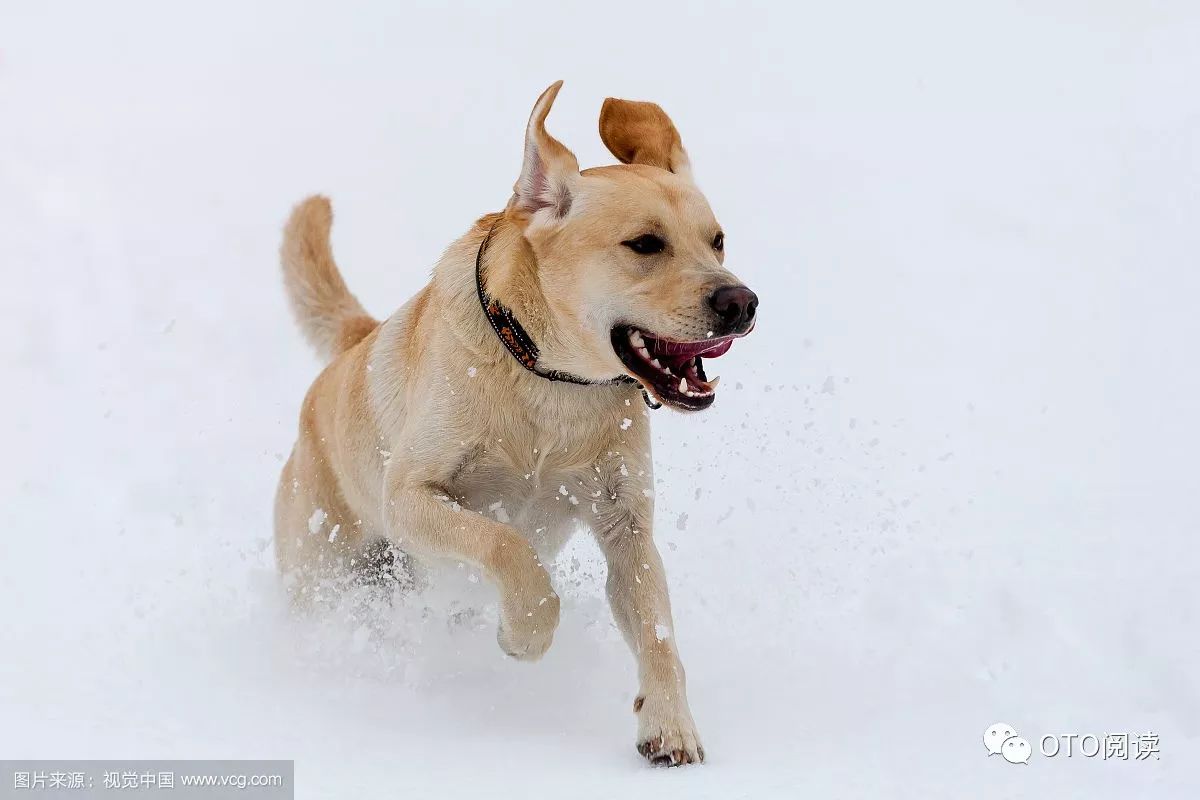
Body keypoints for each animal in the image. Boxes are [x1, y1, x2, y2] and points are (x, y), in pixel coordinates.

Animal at [276, 79, 753, 762]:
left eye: (717, 240)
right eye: (645, 243)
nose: (742, 302)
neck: (550, 383)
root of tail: (352, 345)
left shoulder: (625, 523)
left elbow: (657, 626)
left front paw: (668, 722)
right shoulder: (412, 497)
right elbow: (506, 545)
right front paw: (524, 633)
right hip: (322, 565)